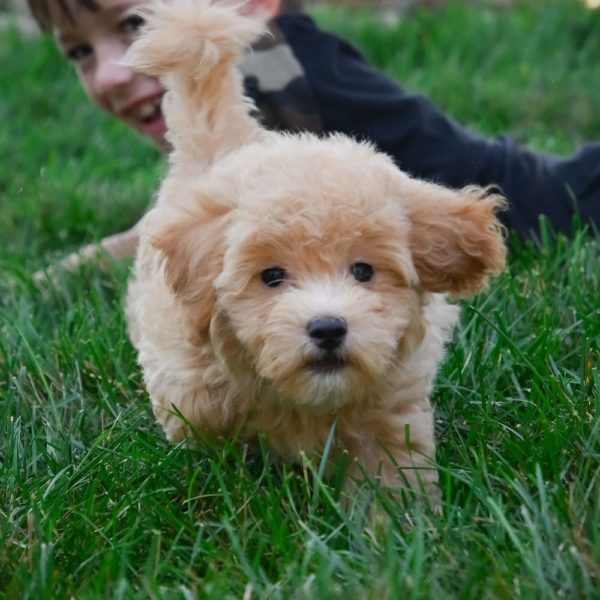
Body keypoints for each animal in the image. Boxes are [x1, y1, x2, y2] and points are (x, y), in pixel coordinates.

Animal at [125, 0, 506, 504]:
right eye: (271, 276)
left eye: (363, 271)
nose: (327, 328)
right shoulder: (184, 364)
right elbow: (202, 410)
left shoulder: (387, 411)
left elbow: (389, 480)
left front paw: (400, 521)